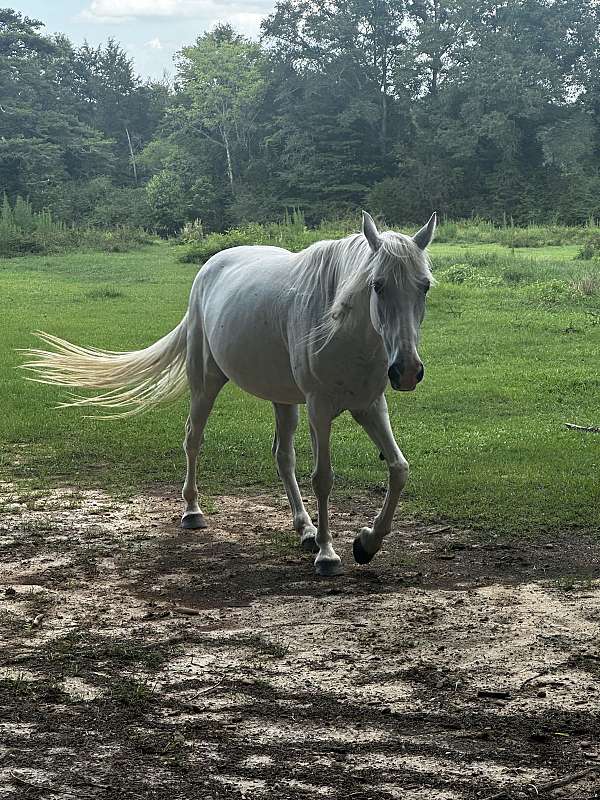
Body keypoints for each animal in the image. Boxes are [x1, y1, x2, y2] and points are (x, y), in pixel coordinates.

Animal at [22, 211, 436, 576]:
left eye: (425, 285)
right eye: (377, 284)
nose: (406, 371)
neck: (345, 329)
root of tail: (209, 268)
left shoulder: (369, 406)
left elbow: (399, 469)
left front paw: (367, 543)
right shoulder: (320, 409)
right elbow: (324, 478)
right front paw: (328, 555)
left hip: (284, 399)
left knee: (283, 457)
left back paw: (304, 528)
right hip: (205, 383)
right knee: (193, 439)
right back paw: (192, 512)